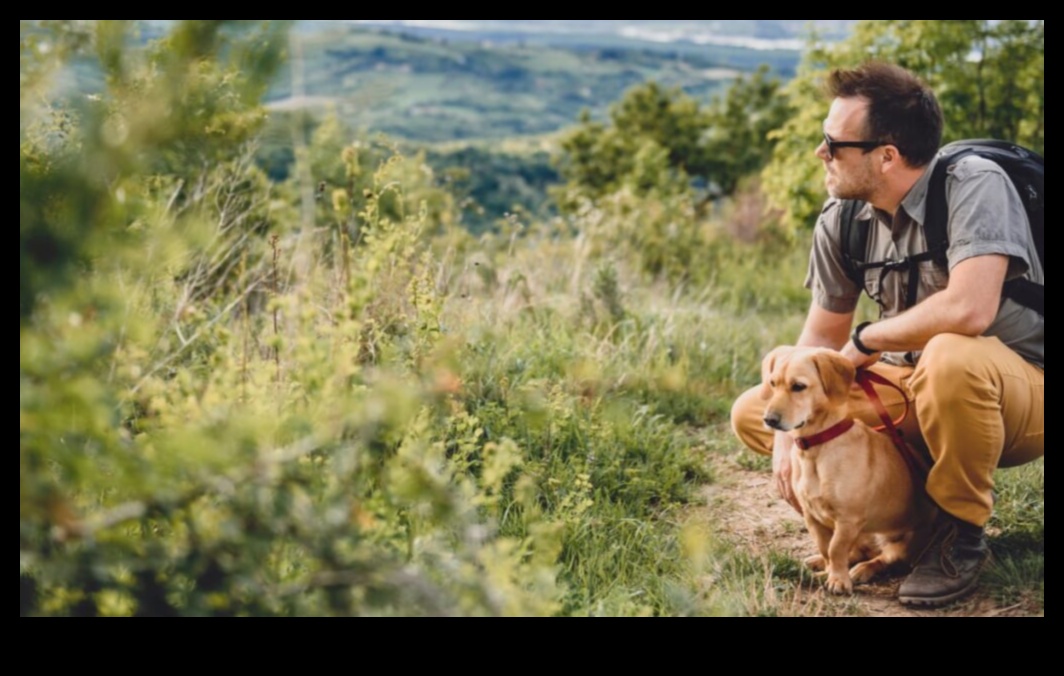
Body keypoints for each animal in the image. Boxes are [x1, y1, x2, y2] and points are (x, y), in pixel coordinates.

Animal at [761, 347, 936, 596]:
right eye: (773, 383)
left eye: (798, 386)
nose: (769, 420)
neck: (817, 446)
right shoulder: (812, 517)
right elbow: (826, 549)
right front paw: (827, 571)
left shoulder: (847, 520)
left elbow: (836, 549)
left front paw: (838, 580)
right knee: (855, 553)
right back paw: (820, 564)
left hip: (900, 544)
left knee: (882, 560)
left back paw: (861, 570)